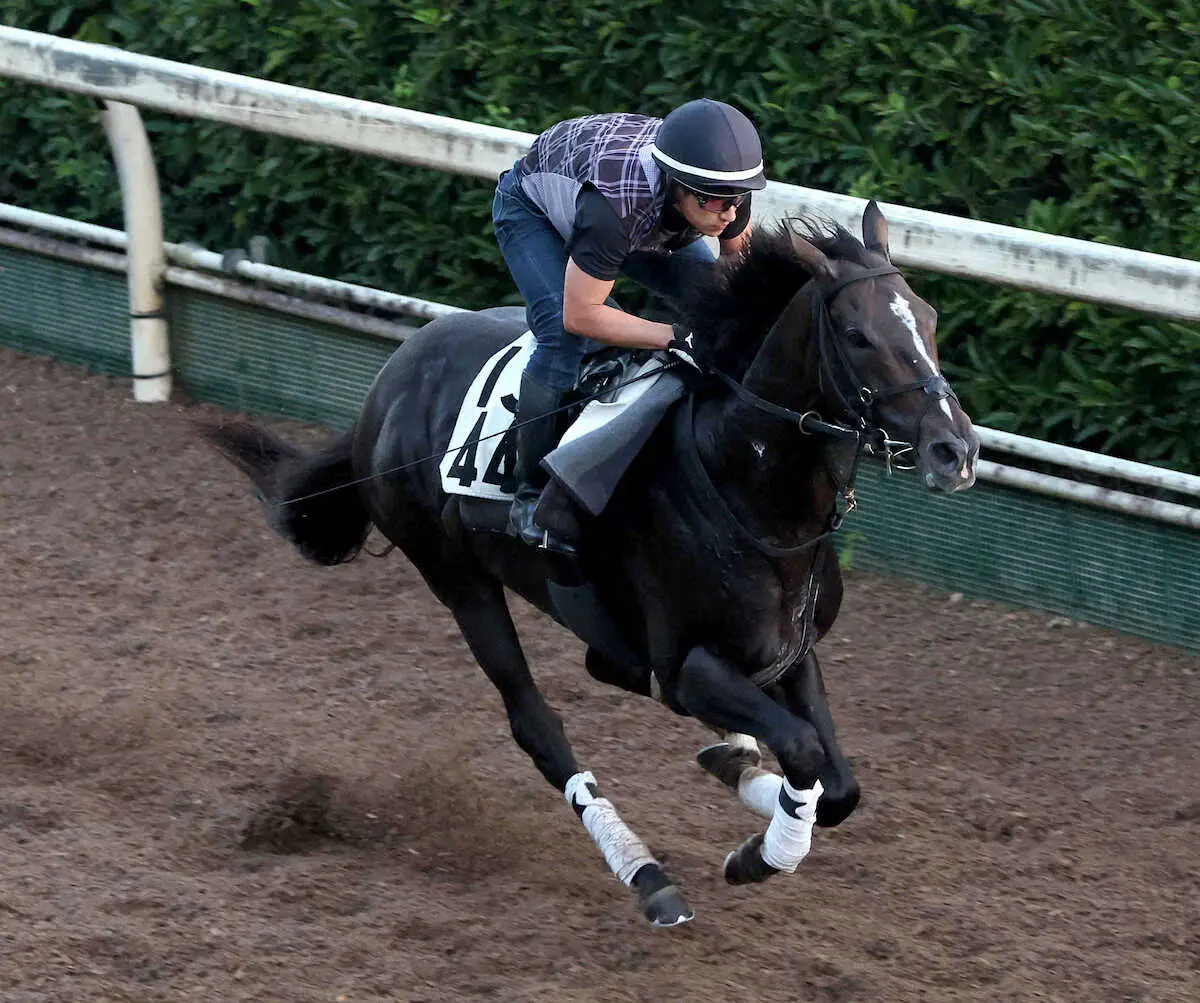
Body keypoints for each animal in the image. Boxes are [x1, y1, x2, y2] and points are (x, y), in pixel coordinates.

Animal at [204, 200, 974, 926]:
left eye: (929, 319)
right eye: (858, 336)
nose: (956, 450)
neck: (744, 484)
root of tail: (385, 385)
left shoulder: (786, 650)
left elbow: (836, 783)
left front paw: (747, 779)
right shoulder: (688, 664)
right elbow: (806, 753)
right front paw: (758, 855)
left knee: (609, 669)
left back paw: (726, 757)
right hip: (457, 578)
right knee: (537, 726)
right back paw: (648, 875)